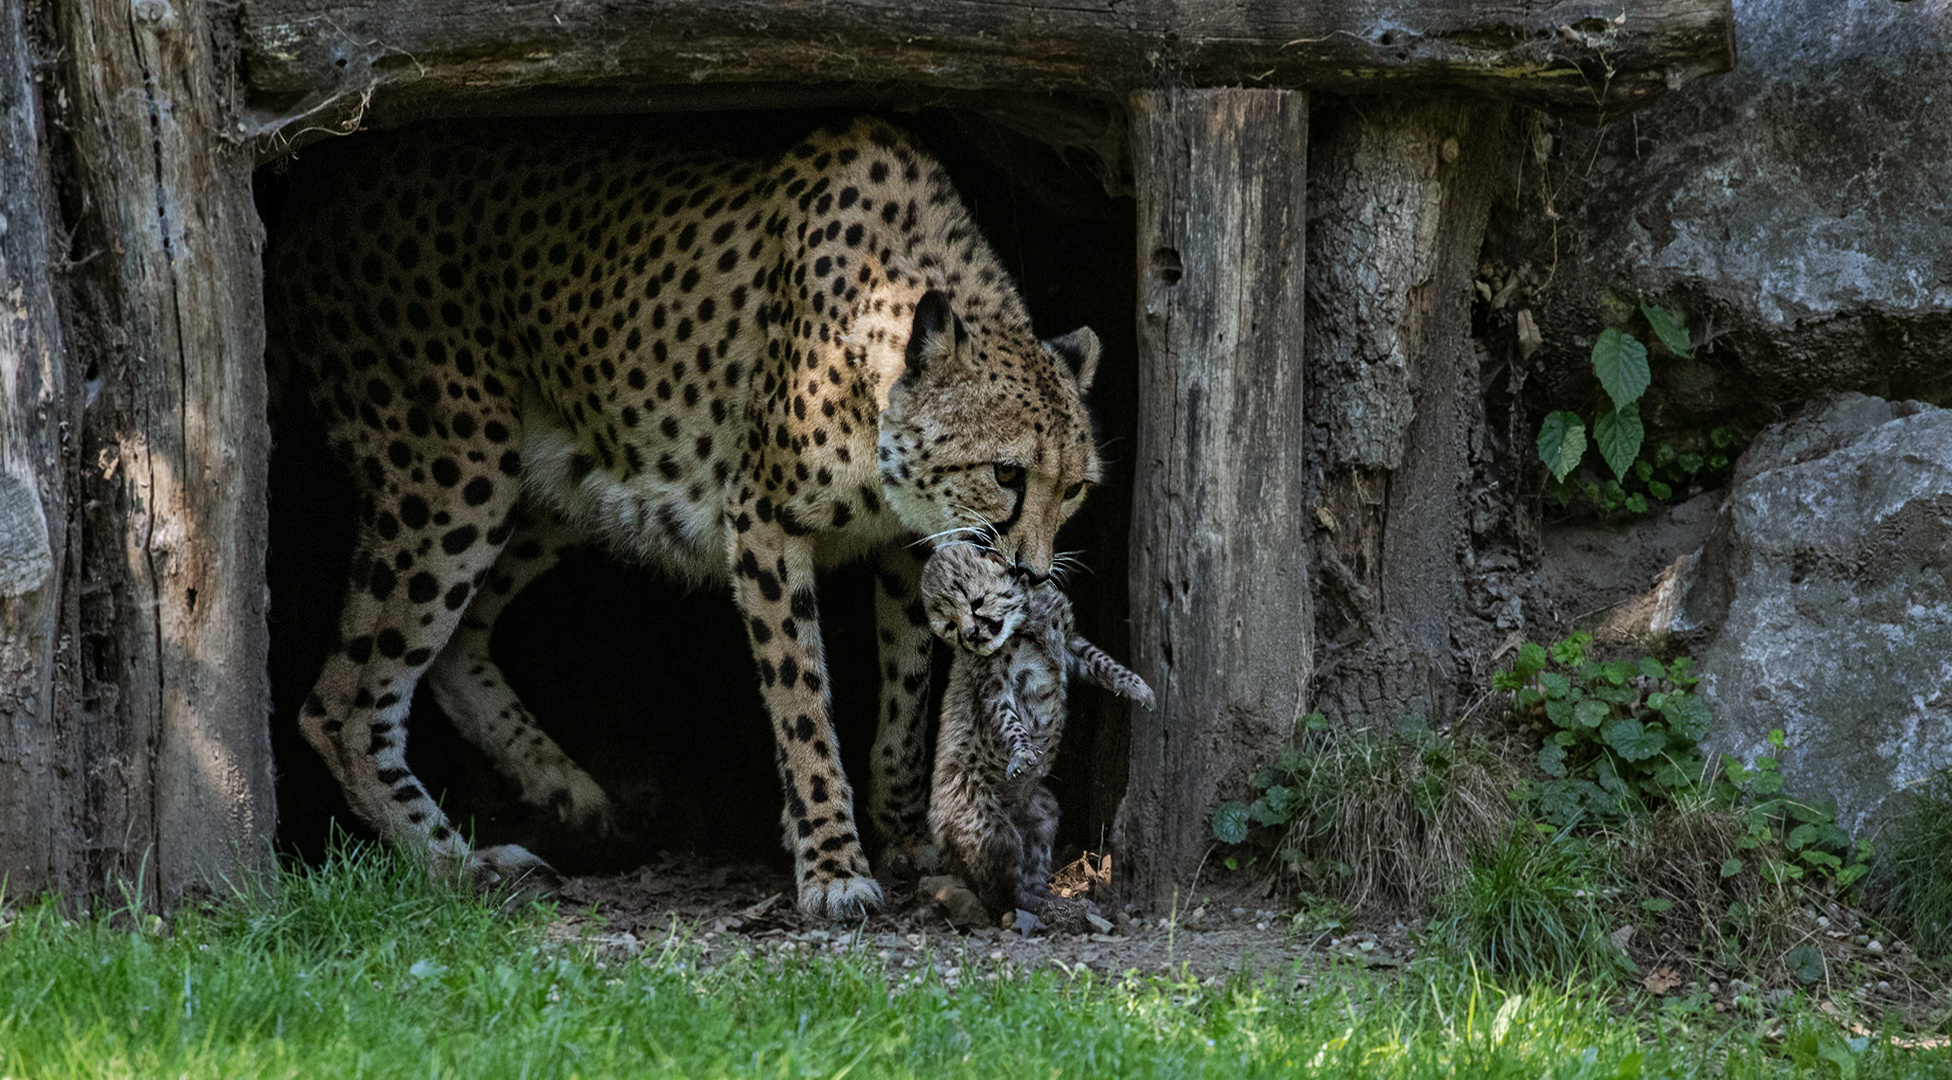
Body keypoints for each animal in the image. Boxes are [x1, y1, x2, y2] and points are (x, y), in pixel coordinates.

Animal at [267, 113, 1108, 913]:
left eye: (1073, 489)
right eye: (1007, 473)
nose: (1032, 573)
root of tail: (338, 183)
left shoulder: (905, 545)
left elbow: (908, 692)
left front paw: (900, 833)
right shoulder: (762, 522)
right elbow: (802, 702)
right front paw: (832, 864)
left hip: (559, 484)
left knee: (454, 642)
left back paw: (568, 791)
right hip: (454, 471)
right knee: (340, 702)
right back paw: (457, 864)